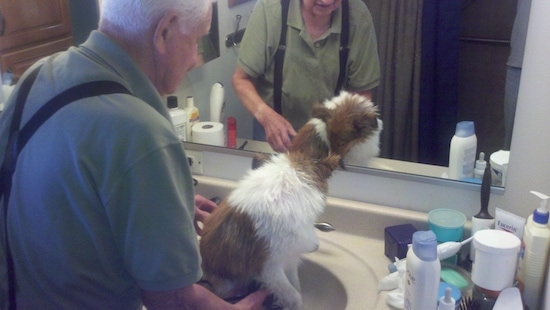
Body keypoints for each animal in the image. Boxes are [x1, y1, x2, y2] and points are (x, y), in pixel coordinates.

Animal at [198, 92, 384, 310]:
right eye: (337, 140)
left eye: (344, 140)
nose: (339, 159)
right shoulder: (271, 267)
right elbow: (294, 295)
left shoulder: (291, 259)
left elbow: (296, 285)